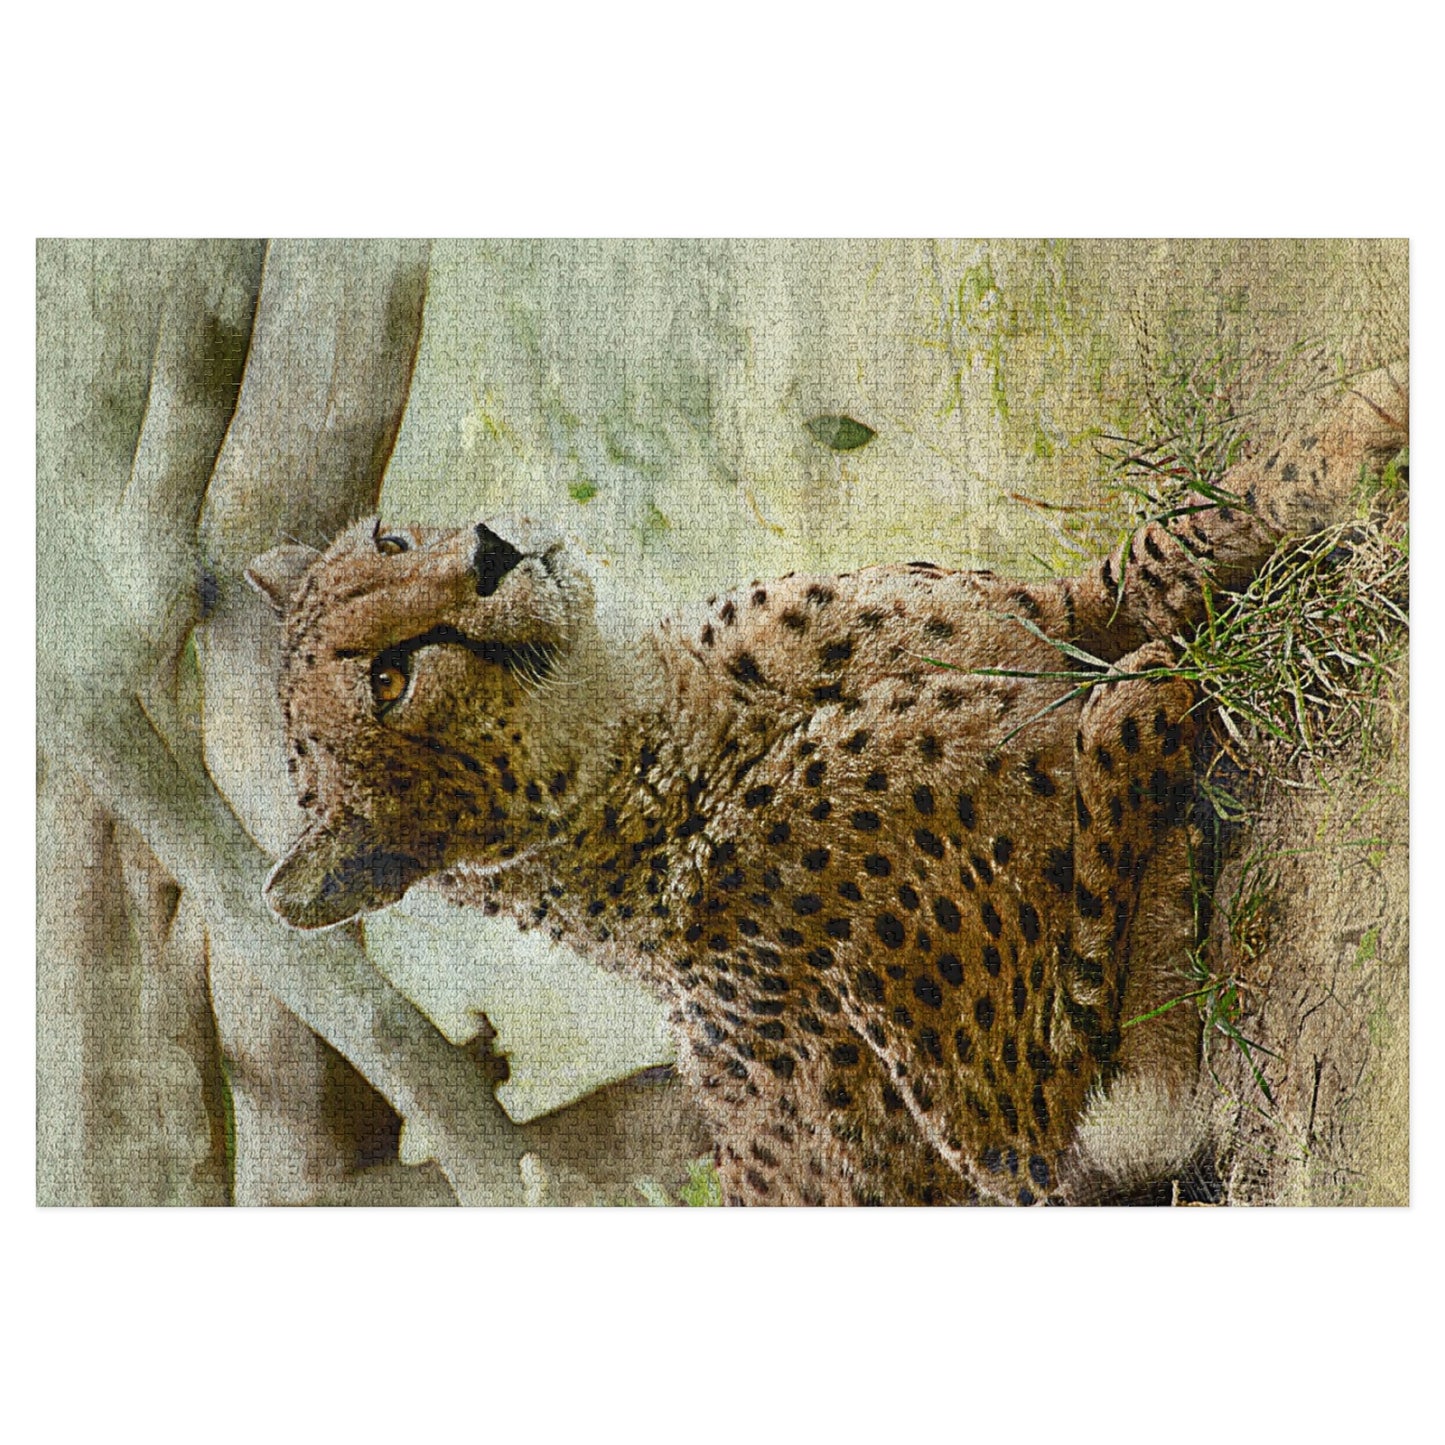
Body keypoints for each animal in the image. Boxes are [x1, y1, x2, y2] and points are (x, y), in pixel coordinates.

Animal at [247, 363, 1407, 1205]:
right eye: (388, 682)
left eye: (392, 535)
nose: (491, 552)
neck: (660, 729)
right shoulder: (1021, 1137)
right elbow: (1113, 774)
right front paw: (1151, 706)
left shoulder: (1055, 615)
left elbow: (1186, 528)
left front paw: (1371, 415)